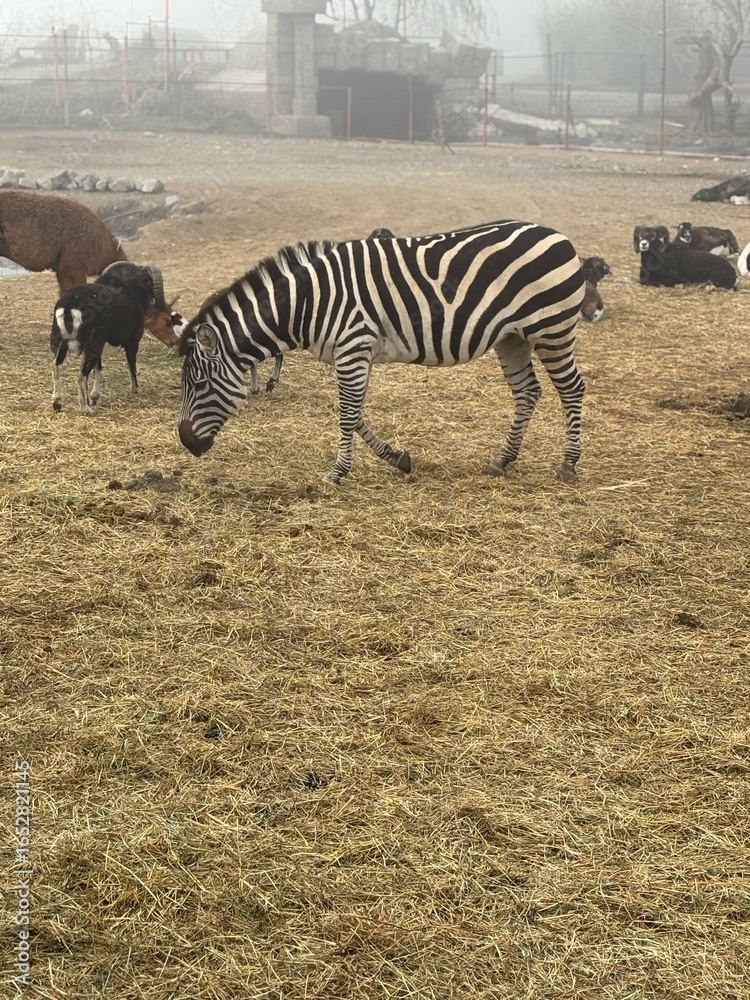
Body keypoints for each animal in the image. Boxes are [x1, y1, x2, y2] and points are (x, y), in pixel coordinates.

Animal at [177, 219, 586, 484]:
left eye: (199, 385)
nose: (186, 443)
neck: (308, 303)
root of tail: (558, 235)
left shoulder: (352, 348)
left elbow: (346, 415)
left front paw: (337, 473)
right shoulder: (355, 353)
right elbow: (354, 414)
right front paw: (398, 459)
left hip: (552, 329)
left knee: (572, 390)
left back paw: (568, 465)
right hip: (512, 337)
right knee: (527, 392)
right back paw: (502, 460)